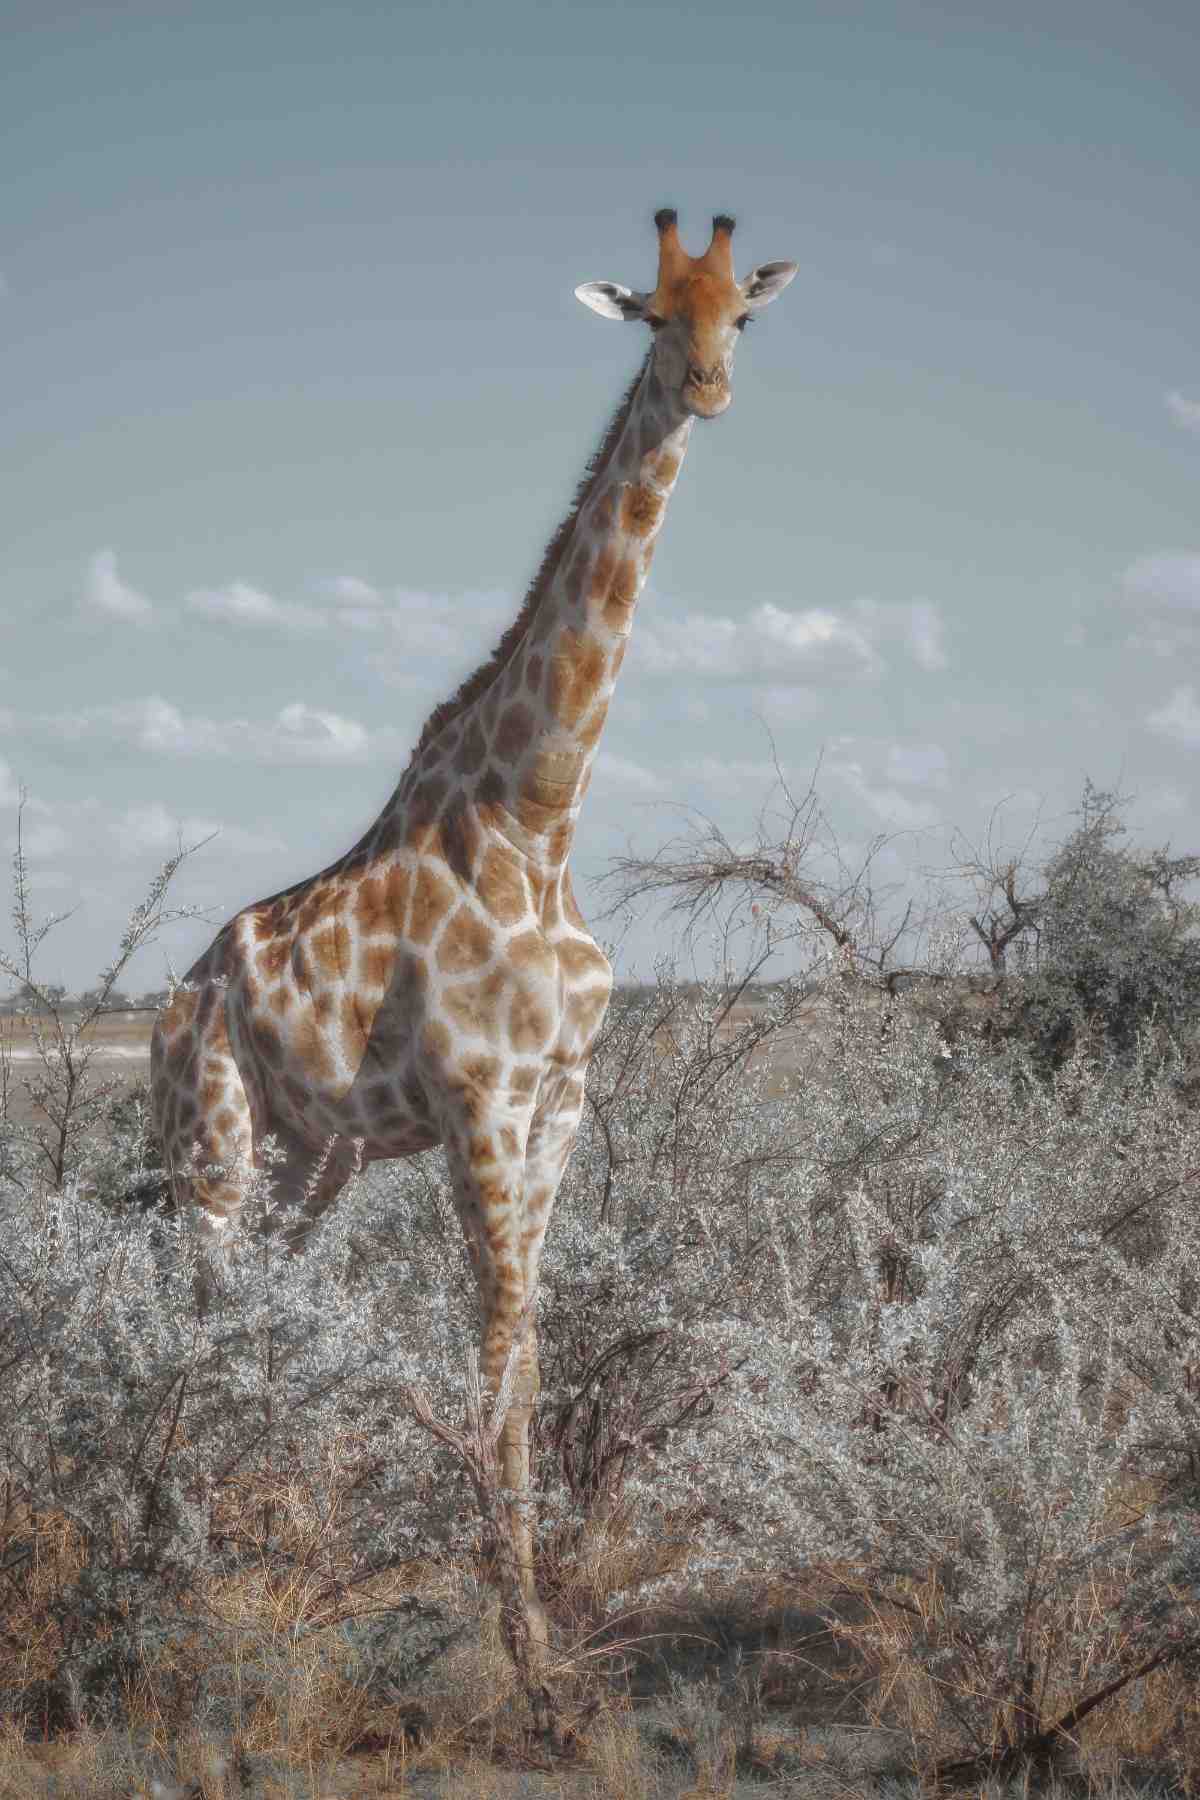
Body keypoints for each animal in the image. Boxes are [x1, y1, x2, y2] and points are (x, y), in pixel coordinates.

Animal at [150, 206, 796, 1656]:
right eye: (655, 317)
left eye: (741, 313)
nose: (710, 391)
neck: (538, 818)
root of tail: (172, 1005)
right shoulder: (479, 1104)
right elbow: (493, 1356)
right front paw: (529, 1649)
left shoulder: (557, 1102)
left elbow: (532, 1354)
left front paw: (534, 1618)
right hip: (209, 1142)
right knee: (184, 1316)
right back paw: (168, 1556)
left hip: (308, 1162)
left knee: (252, 1313)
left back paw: (235, 1539)